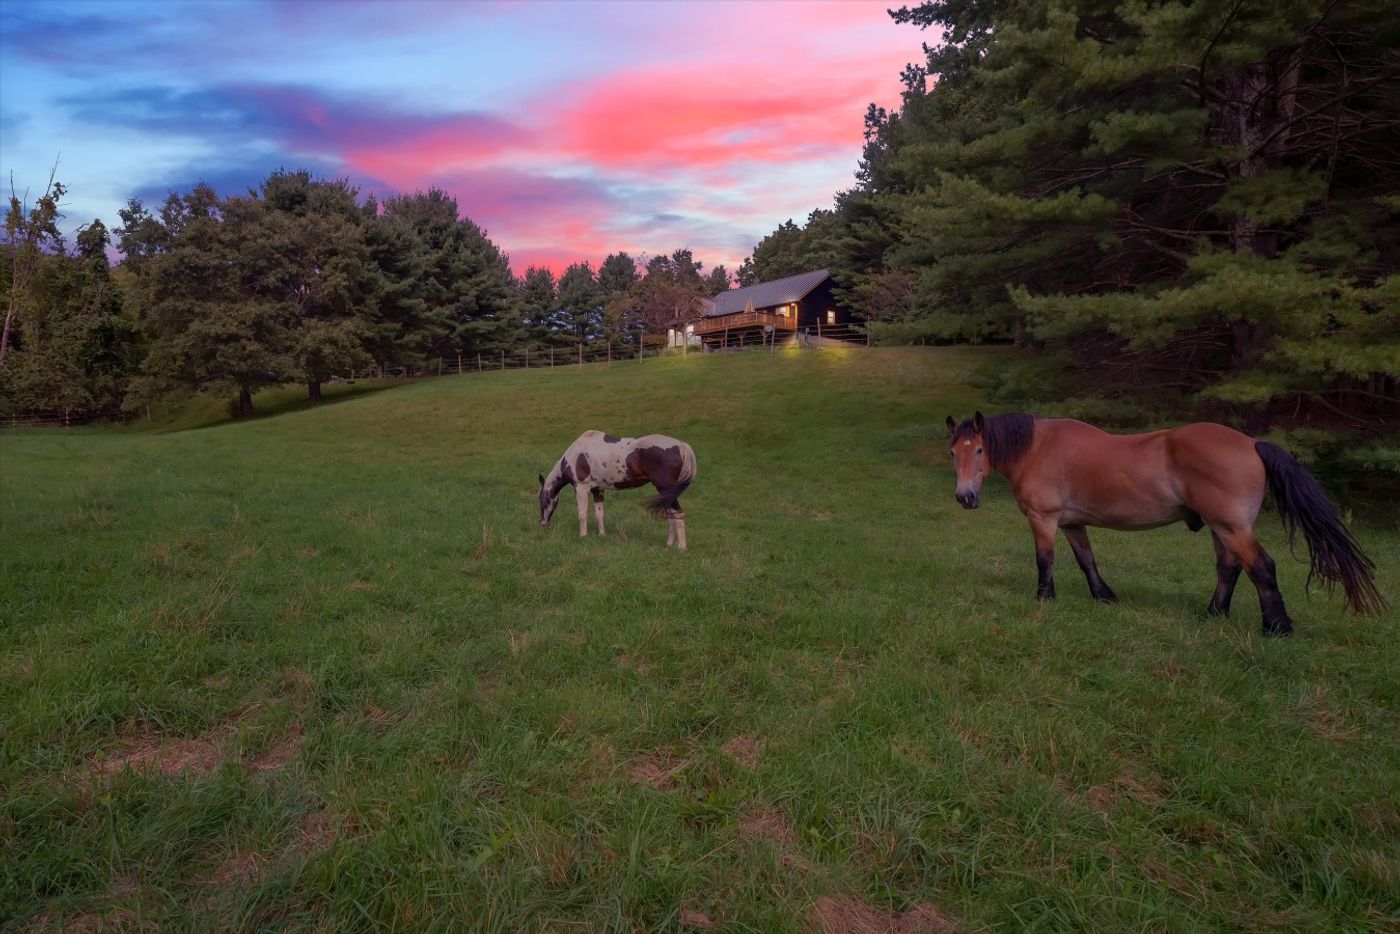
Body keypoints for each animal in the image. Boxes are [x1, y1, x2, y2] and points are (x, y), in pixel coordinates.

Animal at [538, 430, 697, 550]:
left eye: (541, 500)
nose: (542, 523)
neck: (576, 455)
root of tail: (682, 446)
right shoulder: (598, 489)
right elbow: (599, 514)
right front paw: (602, 535)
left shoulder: (581, 489)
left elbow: (582, 514)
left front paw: (583, 536)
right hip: (666, 494)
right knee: (671, 516)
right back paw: (669, 545)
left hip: (665, 489)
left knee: (678, 514)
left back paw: (681, 548)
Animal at [944, 411, 1385, 636]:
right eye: (953, 452)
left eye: (979, 450)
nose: (964, 498)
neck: (1038, 448)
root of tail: (1250, 443)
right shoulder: (1072, 524)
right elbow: (1087, 560)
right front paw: (1104, 596)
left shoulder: (1045, 519)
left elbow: (1045, 560)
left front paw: (1044, 597)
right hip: (1221, 529)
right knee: (1229, 568)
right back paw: (1214, 615)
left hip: (1232, 527)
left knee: (1260, 567)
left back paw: (1275, 627)